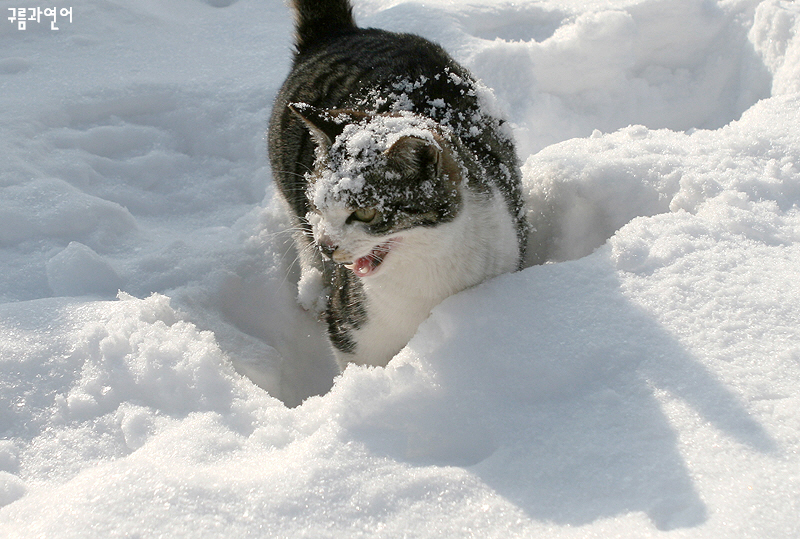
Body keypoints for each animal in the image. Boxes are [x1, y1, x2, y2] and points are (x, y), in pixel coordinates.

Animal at [268, 0, 528, 370]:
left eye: (364, 212)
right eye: (319, 205)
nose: (327, 246)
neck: (424, 278)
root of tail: (341, 32)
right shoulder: (353, 331)